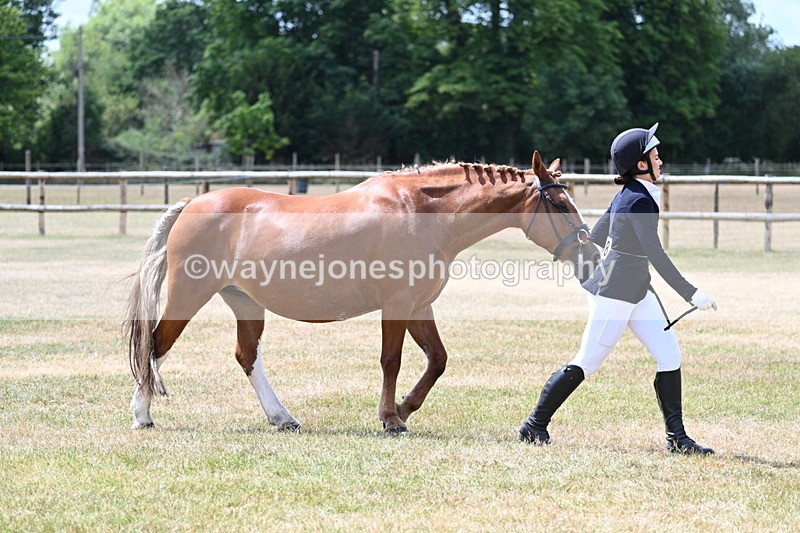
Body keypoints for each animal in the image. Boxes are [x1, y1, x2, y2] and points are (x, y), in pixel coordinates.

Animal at [124, 150, 594, 435]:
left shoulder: (420, 305)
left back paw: (282, 417)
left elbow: (437, 361)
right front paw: (391, 419)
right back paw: (142, 415)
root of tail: (191, 204)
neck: (422, 210)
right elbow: (392, 361)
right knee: (157, 345)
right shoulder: (398, 305)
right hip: (189, 295)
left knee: (246, 356)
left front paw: (404, 408)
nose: (589, 253)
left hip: (245, 302)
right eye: (559, 204)